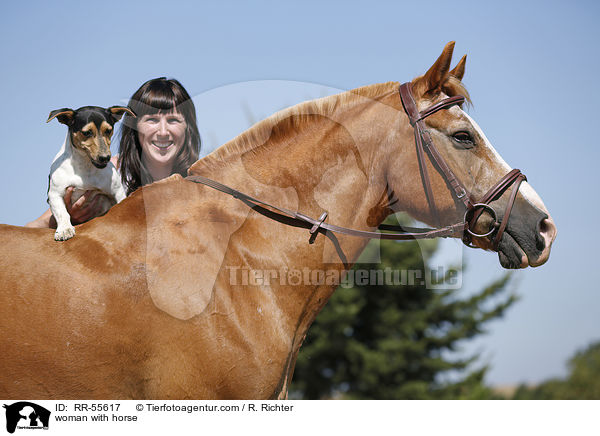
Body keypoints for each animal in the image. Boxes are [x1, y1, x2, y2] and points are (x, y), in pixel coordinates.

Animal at [47, 106, 136, 242]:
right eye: (87, 132)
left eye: (108, 130)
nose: (105, 158)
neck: (85, 167)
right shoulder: (54, 194)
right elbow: (63, 213)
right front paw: (64, 229)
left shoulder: (118, 191)